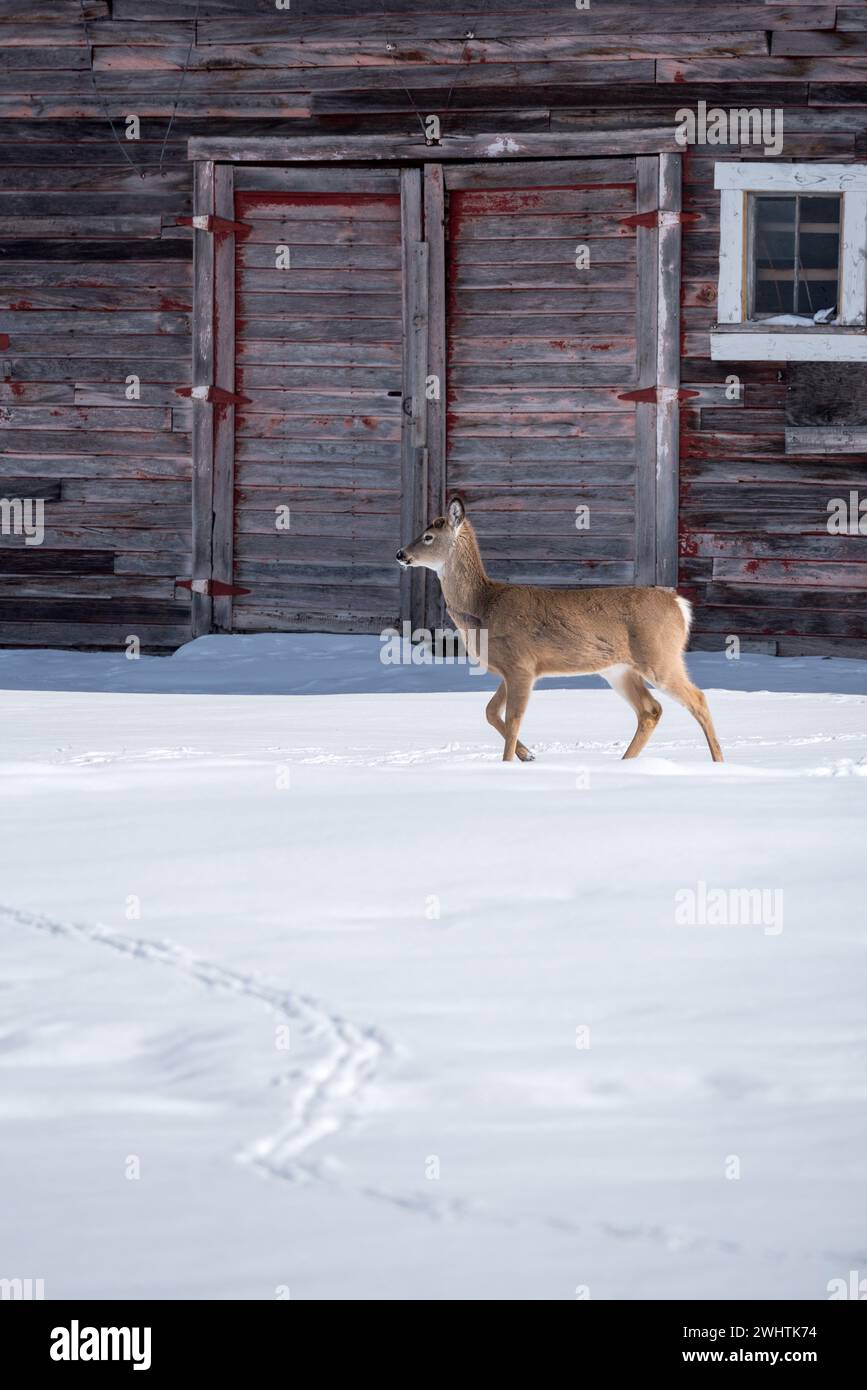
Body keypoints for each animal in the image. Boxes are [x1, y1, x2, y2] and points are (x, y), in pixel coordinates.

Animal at [397, 497, 722, 767]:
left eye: (428, 537)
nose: (400, 553)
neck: (484, 605)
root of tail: (680, 605)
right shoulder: (511, 668)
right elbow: (490, 712)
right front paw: (527, 755)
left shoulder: (521, 664)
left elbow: (513, 719)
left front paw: (508, 765)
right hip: (619, 669)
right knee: (650, 710)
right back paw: (624, 763)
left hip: (660, 656)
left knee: (698, 699)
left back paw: (718, 762)